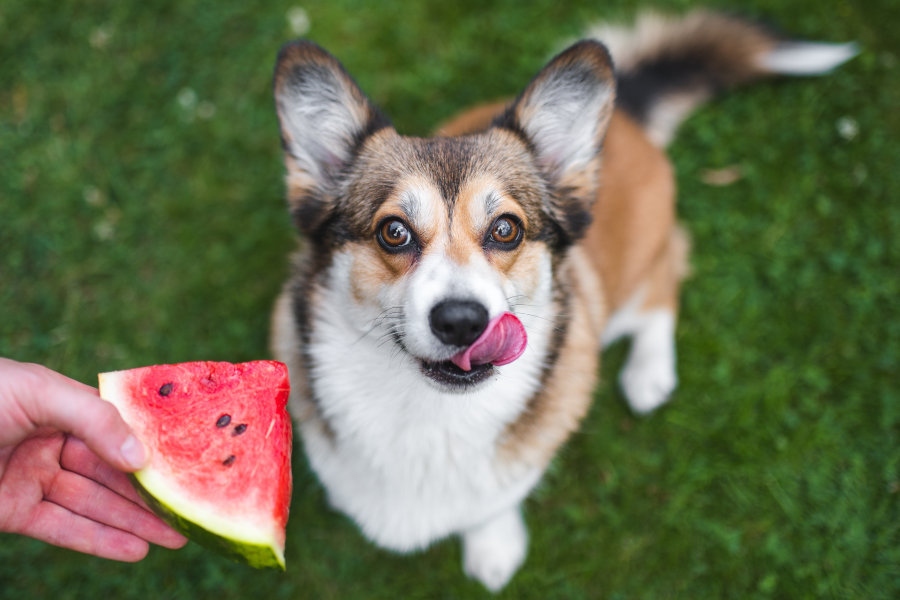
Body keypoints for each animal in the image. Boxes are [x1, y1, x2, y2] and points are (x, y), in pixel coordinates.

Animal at [268, 9, 856, 592]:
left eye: (506, 229)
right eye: (393, 232)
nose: (462, 322)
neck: (428, 414)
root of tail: (626, 111)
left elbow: (493, 503)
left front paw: (493, 547)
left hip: (637, 277)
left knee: (666, 278)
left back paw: (649, 373)